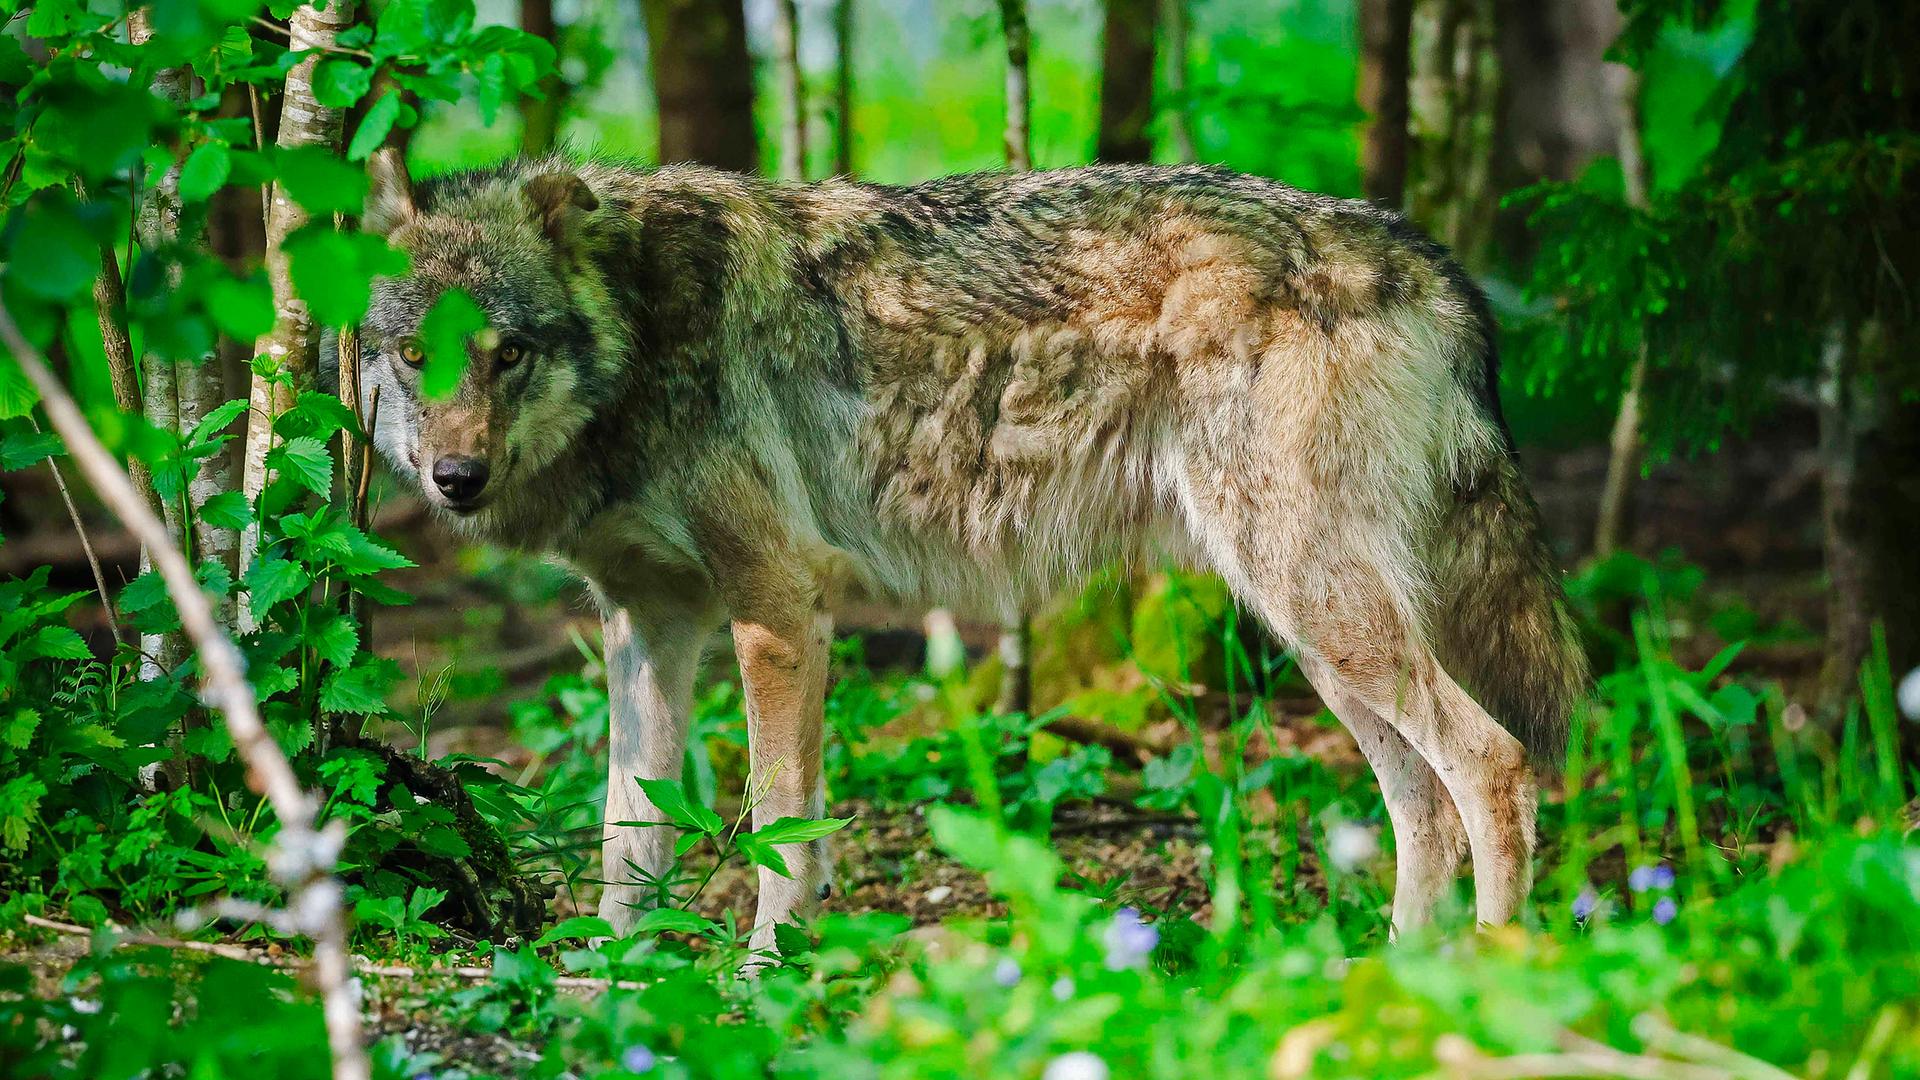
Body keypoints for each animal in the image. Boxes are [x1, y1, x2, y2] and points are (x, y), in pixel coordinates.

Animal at [353, 148, 1588, 950]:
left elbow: (780, 824)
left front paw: (765, 982)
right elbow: (628, 836)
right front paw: (617, 988)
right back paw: (1392, 991)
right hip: (1318, 638)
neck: (639, 330)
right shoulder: (646, 624)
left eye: (507, 353)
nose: (454, 480)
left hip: (1318, 607)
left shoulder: (778, 605)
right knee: (1420, 804)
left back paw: (1491, 986)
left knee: (1492, 762)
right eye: (416, 355)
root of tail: (1427, 255)